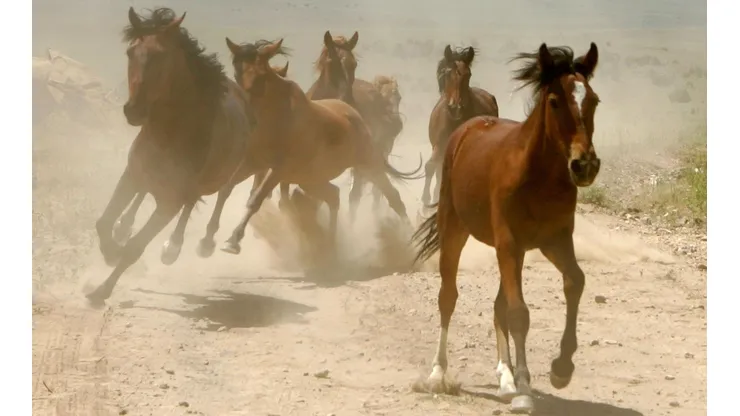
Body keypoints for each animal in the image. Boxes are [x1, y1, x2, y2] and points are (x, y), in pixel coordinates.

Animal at [86, 7, 256, 303]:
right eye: (130, 52)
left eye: (161, 55)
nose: (134, 110)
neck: (172, 130)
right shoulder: (132, 175)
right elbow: (103, 222)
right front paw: (111, 251)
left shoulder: (170, 201)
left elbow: (136, 247)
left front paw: (100, 292)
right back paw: (127, 228)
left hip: (218, 180)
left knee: (213, 198)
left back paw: (184, 246)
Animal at [420, 45, 499, 206]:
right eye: (447, 74)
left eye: (468, 75)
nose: (456, 107)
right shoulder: (439, 145)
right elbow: (431, 166)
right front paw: (427, 199)